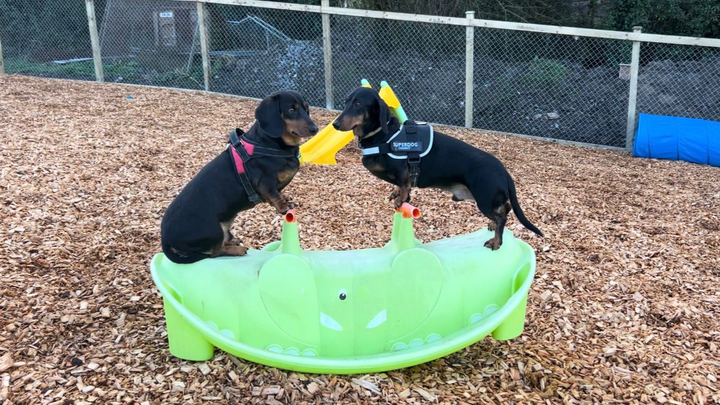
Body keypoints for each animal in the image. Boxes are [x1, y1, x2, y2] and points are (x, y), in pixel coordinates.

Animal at [161, 91, 318, 264]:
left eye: (306, 108)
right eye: (291, 110)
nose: (315, 129)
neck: (268, 144)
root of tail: (164, 239)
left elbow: (279, 193)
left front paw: (285, 198)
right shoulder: (264, 182)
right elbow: (274, 195)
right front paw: (283, 206)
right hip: (214, 230)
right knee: (213, 253)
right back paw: (237, 250)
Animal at [333, 87, 542, 250]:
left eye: (358, 103)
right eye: (347, 102)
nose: (335, 124)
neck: (385, 136)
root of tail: (503, 171)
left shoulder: (402, 173)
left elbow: (403, 186)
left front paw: (401, 198)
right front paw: (396, 193)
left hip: (483, 199)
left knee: (502, 218)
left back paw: (496, 242)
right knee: (504, 209)